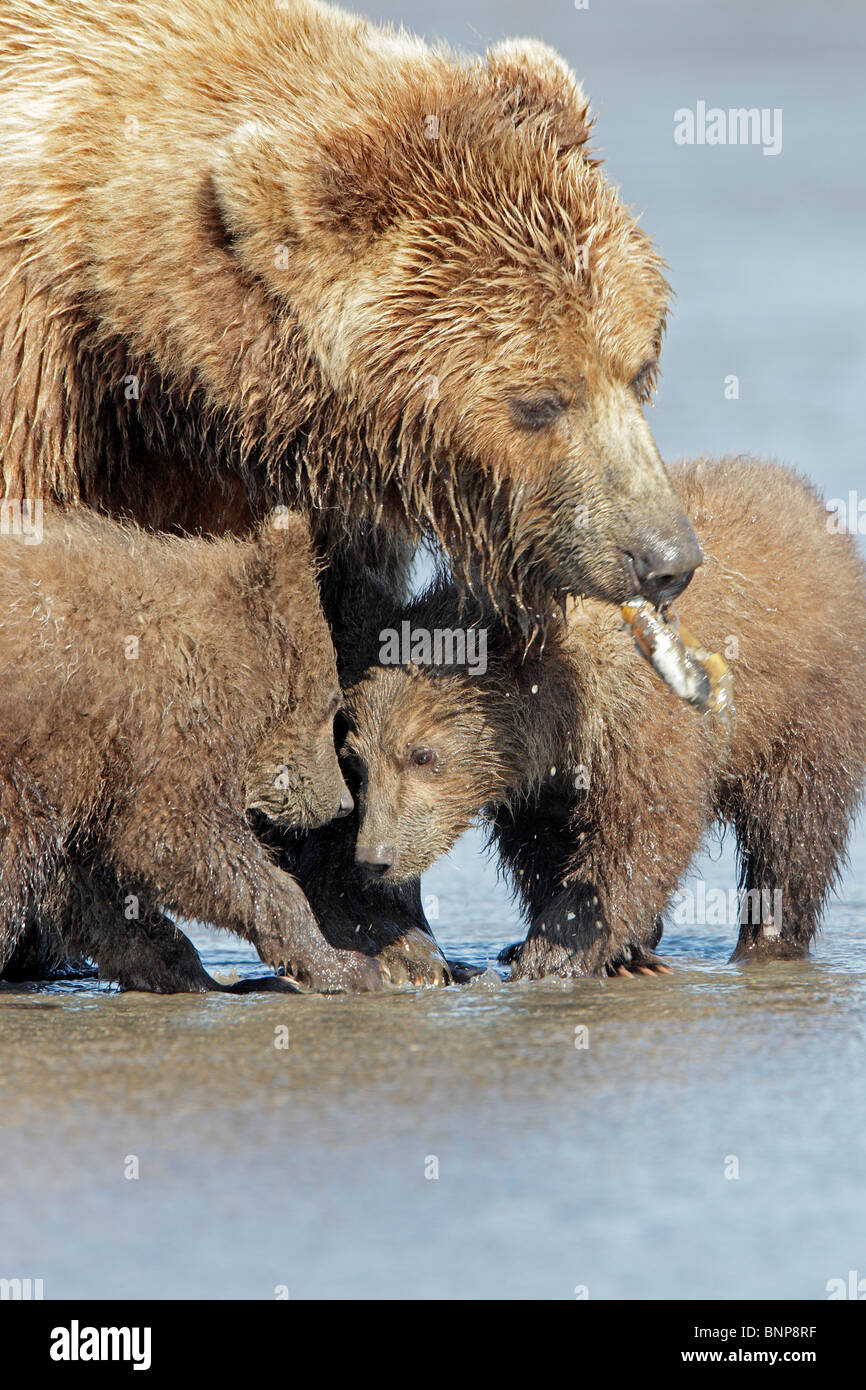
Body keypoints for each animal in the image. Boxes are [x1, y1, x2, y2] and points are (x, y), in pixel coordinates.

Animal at [0, 505, 386, 994]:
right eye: (332, 703)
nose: (343, 803)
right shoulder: (151, 728)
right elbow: (172, 838)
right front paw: (344, 963)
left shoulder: (97, 771)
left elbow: (94, 889)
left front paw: (191, 970)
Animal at [342, 456, 866, 978]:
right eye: (357, 761)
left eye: (422, 754)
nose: (374, 858)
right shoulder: (539, 776)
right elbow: (541, 848)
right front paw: (606, 947)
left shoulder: (641, 722)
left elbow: (644, 832)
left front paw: (554, 953)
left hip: (808, 701)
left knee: (794, 826)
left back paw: (768, 939)